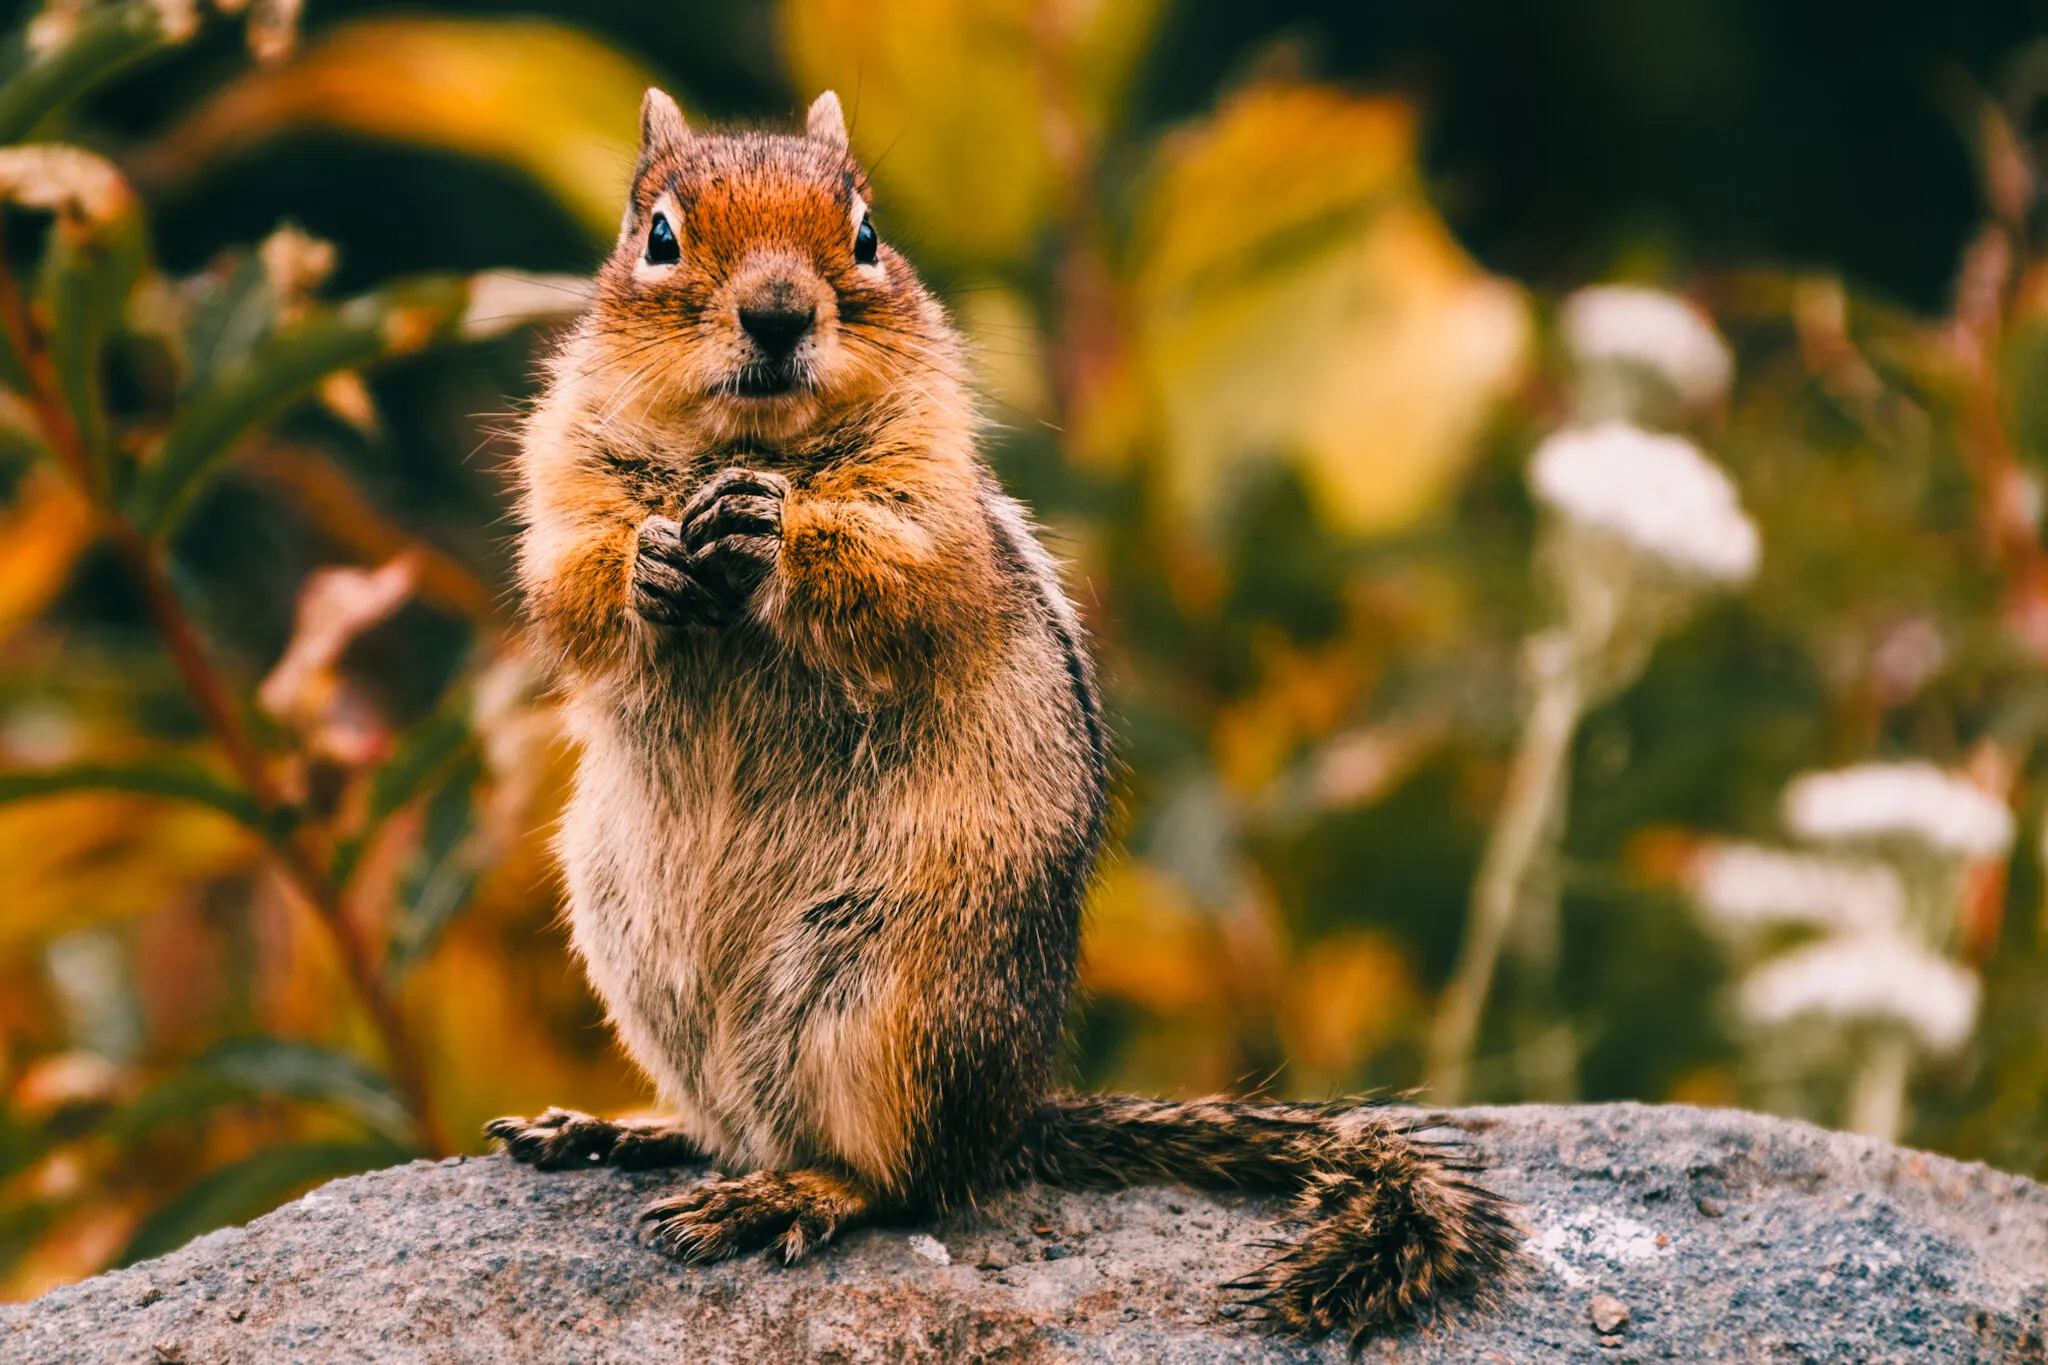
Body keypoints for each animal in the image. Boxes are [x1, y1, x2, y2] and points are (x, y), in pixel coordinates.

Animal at [487, 87, 1520, 1348]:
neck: (743, 446)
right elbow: (570, 582)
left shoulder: (932, 506)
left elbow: (897, 577)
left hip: (890, 1004)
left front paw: (773, 529)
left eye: (867, 235)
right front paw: (648, 562)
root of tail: (1014, 1116)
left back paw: (783, 1192)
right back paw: (615, 1130)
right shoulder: (562, 475)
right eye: (660, 238)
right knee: (732, 1125)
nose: (779, 312)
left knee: (897, 1182)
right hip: (645, 974)